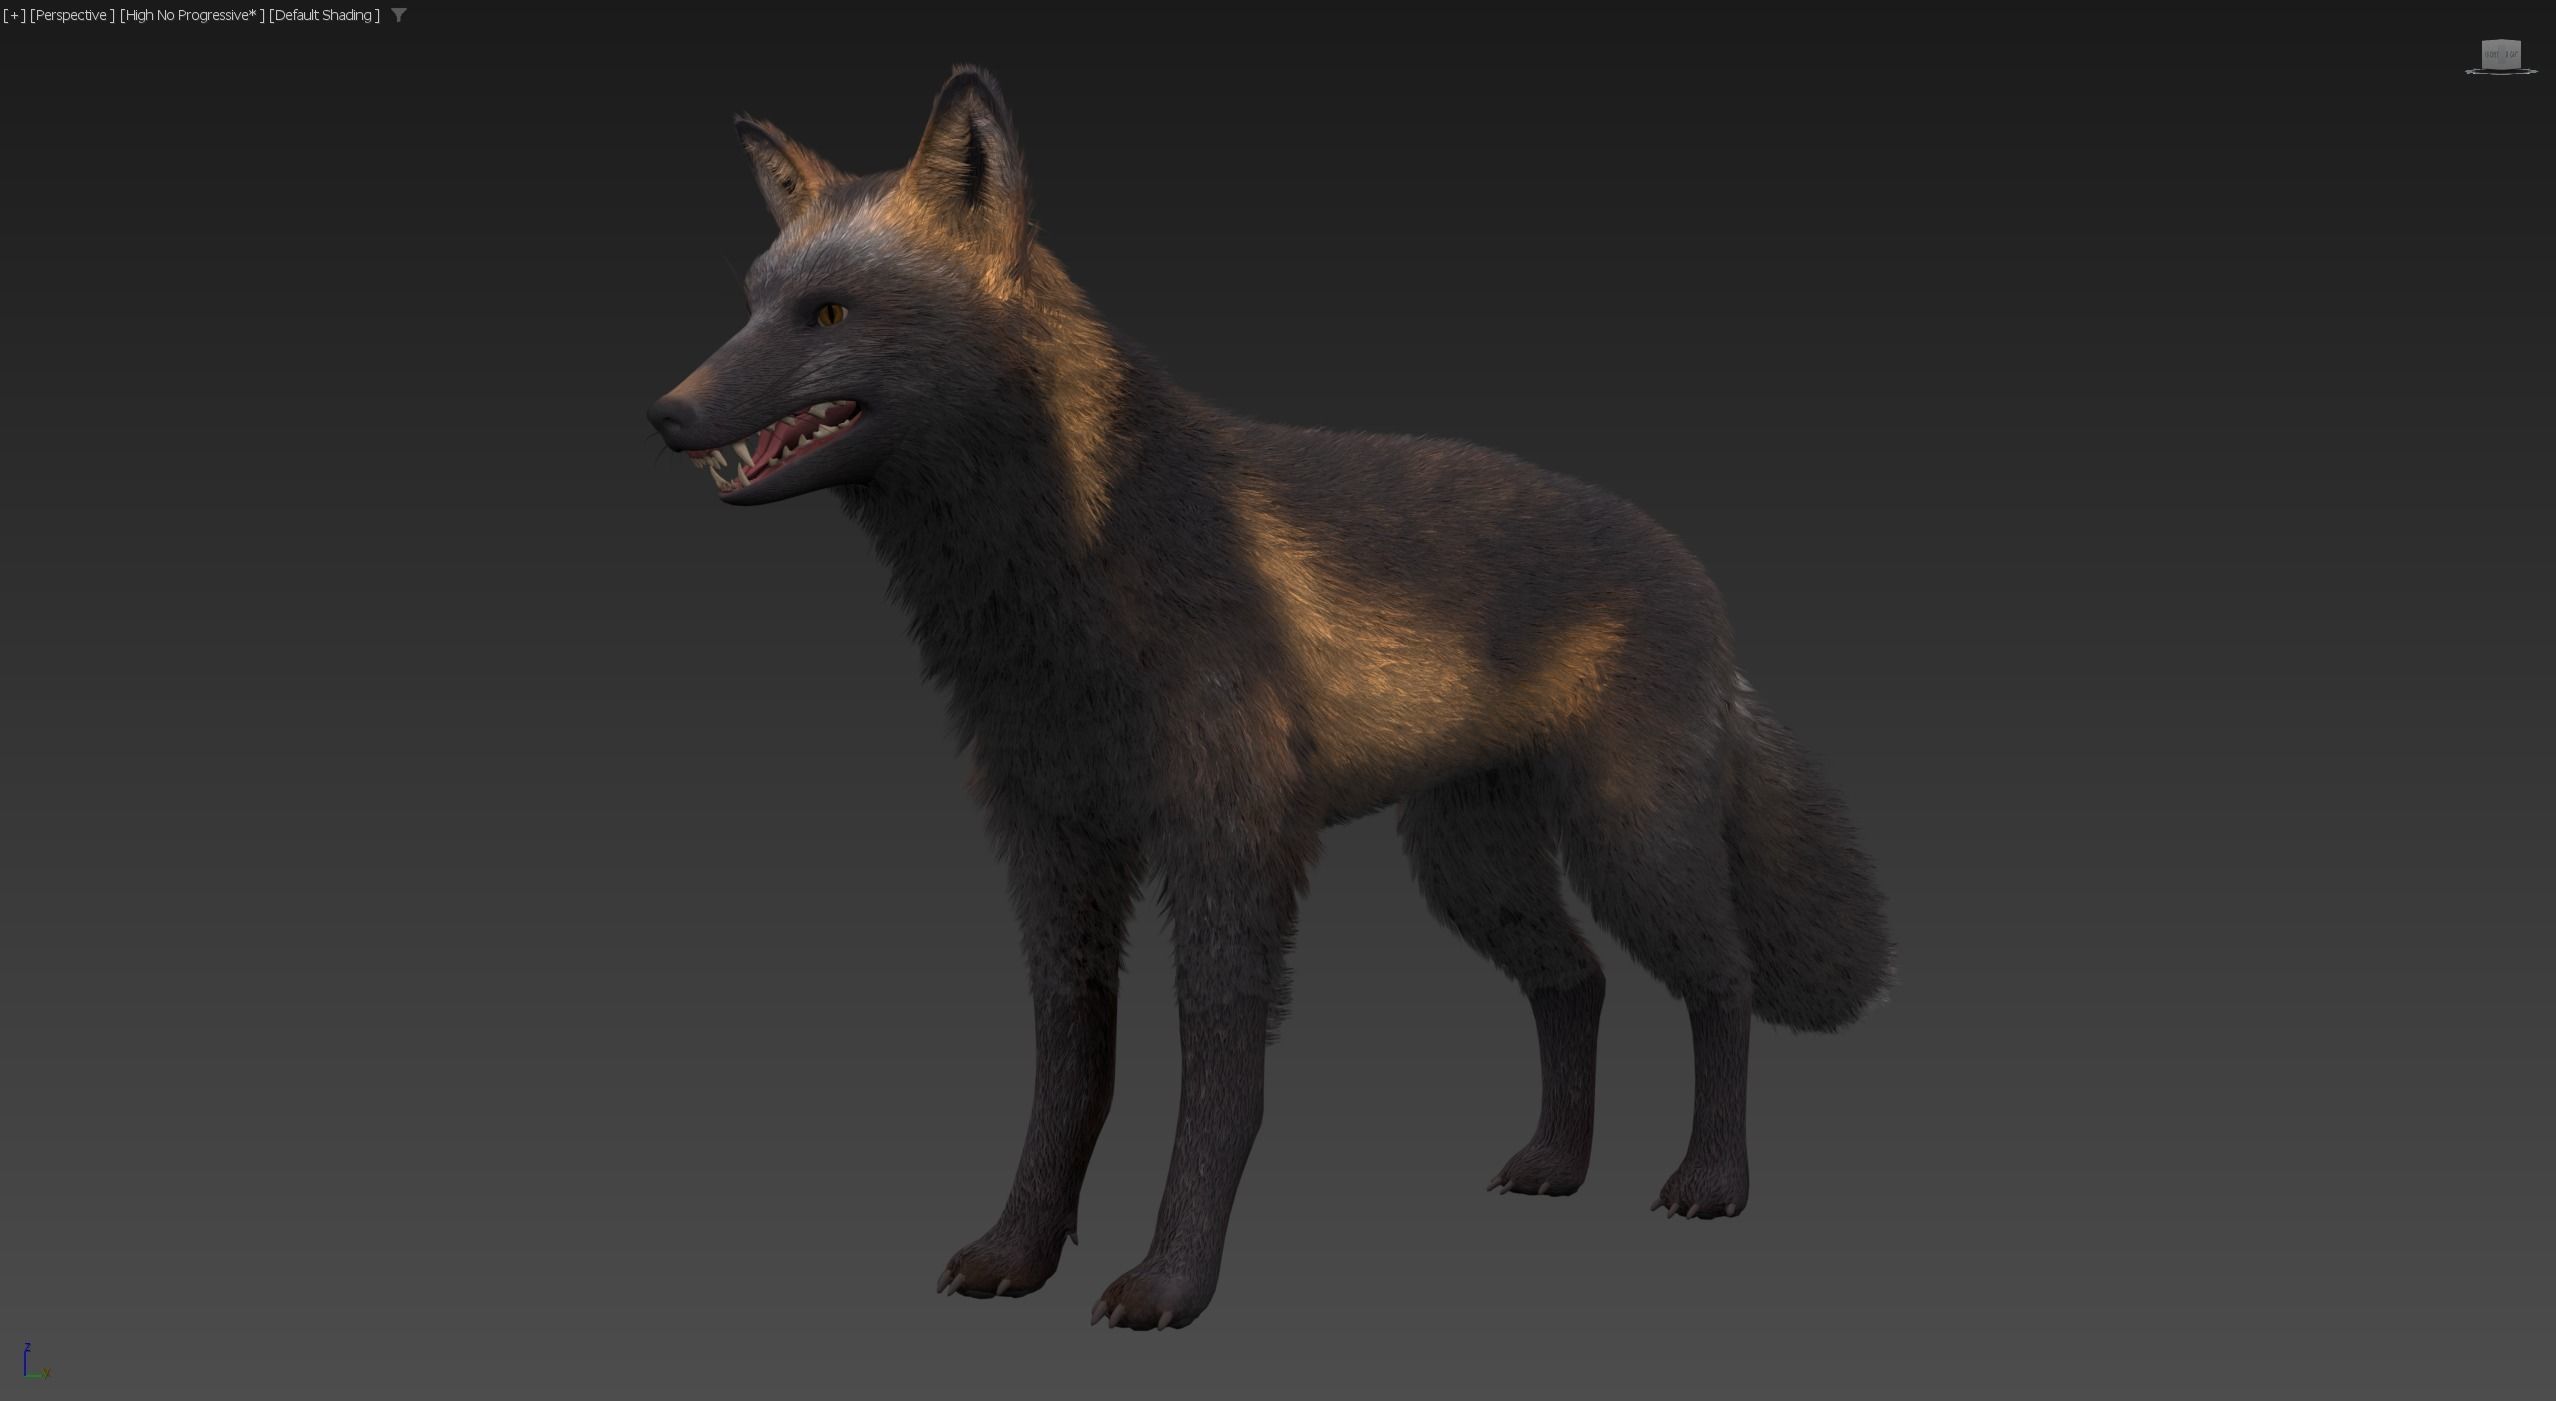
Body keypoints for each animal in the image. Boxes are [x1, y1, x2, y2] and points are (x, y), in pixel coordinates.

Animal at [647, 66, 1893, 1330]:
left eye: (830, 316)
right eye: (751, 304)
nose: (666, 413)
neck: (1057, 598)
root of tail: (1696, 576)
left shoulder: (1228, 845)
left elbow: (1219, 1084)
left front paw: (1171, 1281)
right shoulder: (1054, 843)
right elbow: (1069, 1076)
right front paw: (1019, 1250)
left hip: (1629, 850)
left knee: (1724, 984)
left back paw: (1714, 1181)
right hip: (1471, 870)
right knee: (1575, 981)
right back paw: (1556, 1163)